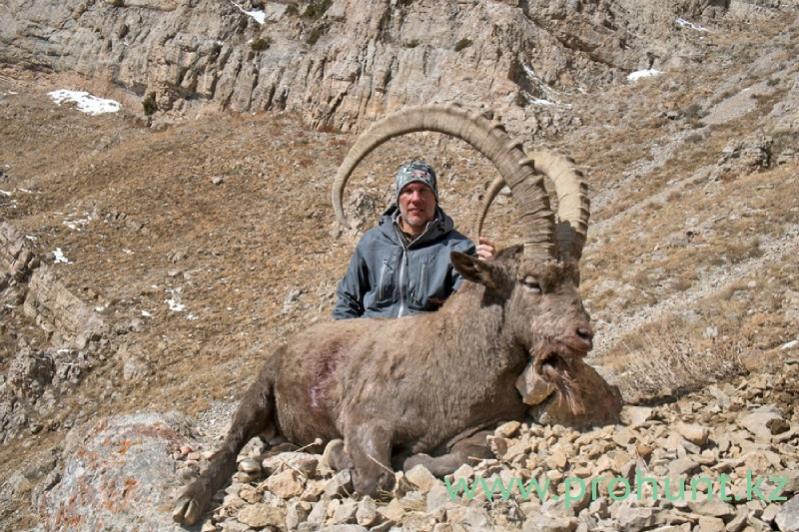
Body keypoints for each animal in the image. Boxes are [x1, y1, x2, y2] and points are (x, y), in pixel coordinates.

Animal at [173, 104, 598, 525]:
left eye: (575, 278)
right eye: (532, 283)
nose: (584, 334)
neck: (455, 357)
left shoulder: (482, 425)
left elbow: (470, 453)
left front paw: (409, 456)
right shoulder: (365, 419)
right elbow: (377, 477)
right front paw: (343, 456)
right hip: (260, 389)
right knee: (231, 445)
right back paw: (190, 500)